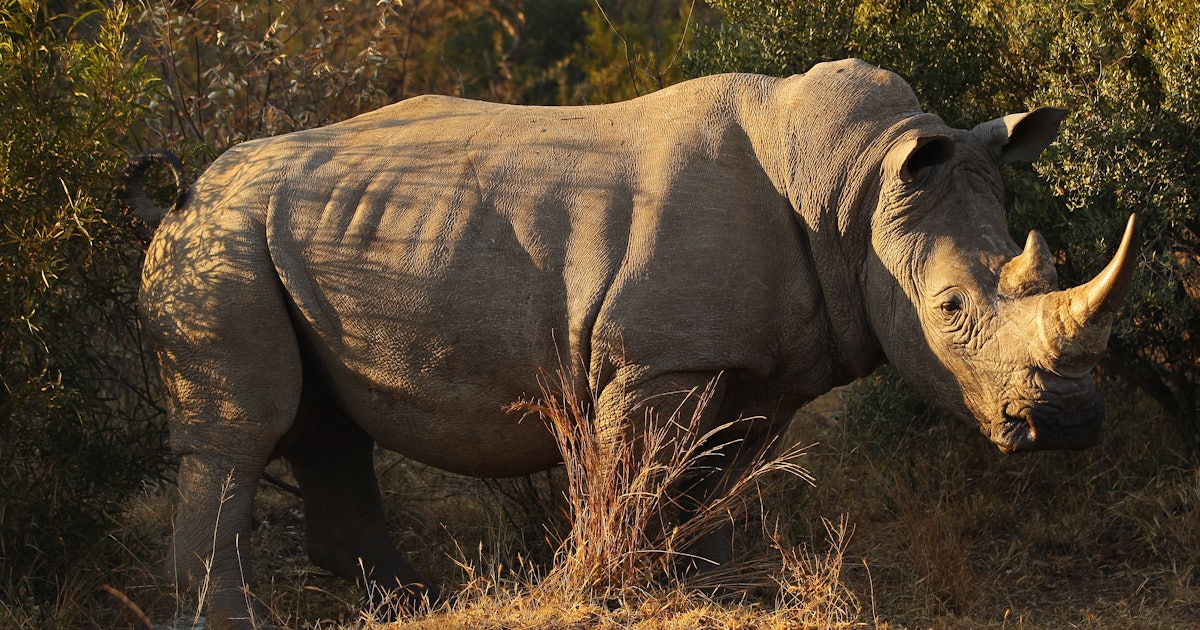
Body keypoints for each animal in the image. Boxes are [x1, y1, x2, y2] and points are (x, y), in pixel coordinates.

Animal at [119, 59, 1137, 629]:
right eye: (953, 307)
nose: (1072, 425)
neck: (853, 187)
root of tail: (182, 194)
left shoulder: (763, 366)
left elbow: (714, 473)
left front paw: (704, 586)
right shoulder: (657, 359)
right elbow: (634, 470)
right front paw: (601, 587)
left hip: (294, 234)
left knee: (330, 432)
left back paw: (408, 604)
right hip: (222, 242)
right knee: (243, 432)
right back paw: (238, 620)